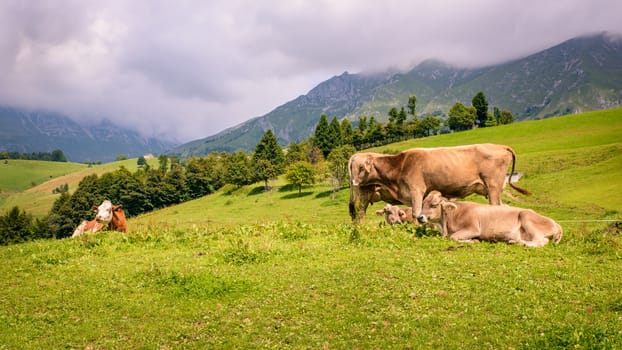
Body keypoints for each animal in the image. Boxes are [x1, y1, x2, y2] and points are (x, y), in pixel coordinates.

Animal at [348, 144, 532, 223]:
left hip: (493, 186)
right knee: (359, 213)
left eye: (361, 168)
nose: (354, 181)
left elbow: (416, 213)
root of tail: (501, 146)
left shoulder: (416, 190)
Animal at [416, 191, 564, 246]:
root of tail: (556, 224)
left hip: (526, 217)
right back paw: (512, 241)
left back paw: (519, 243)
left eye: (434, 204)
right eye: (423, 203)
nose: (420, 217)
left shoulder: (473, 228)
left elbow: (453, 237)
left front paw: (473, 241)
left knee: (541, 241)